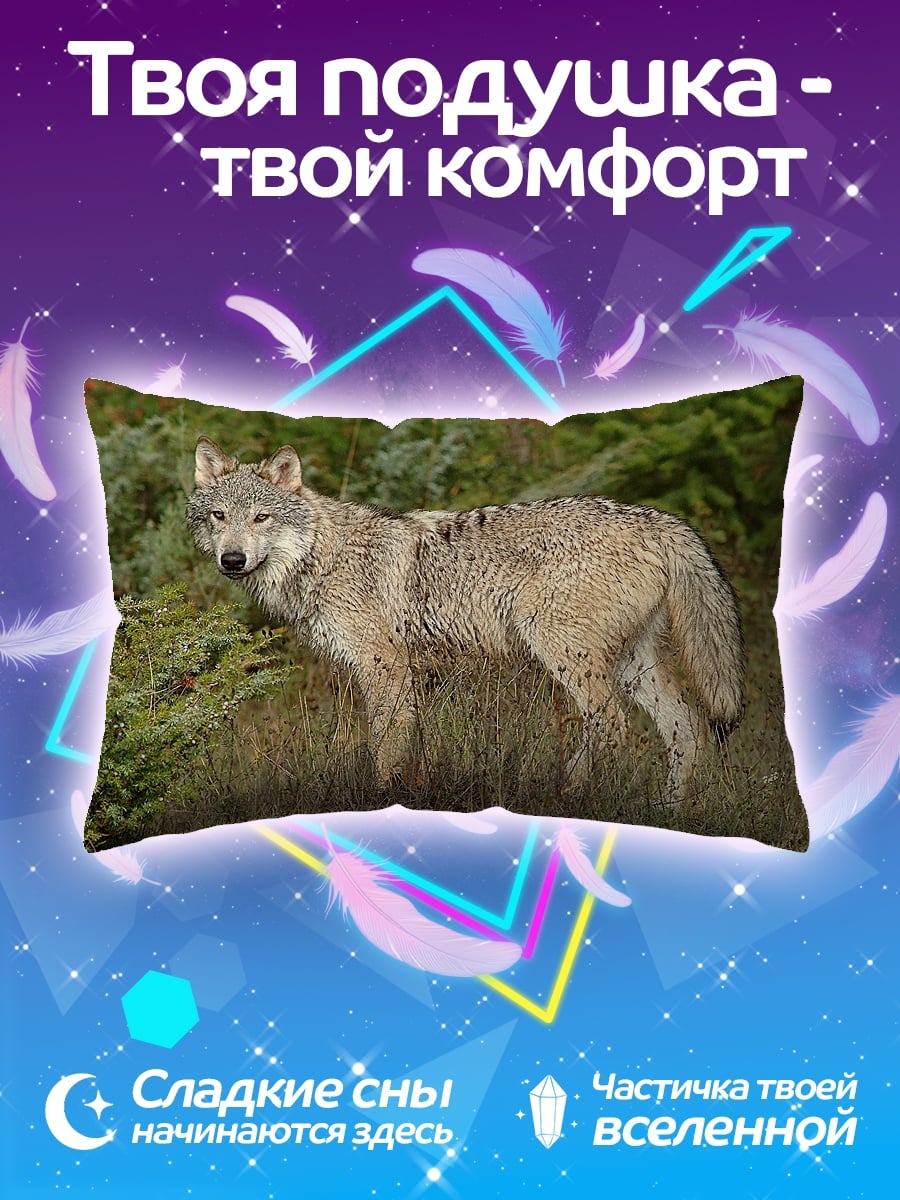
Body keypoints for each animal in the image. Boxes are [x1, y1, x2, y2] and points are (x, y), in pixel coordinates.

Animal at [186, 437, 744, 800]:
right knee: (687, 729)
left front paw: (380, 799)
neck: (320, 555)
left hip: (567, 655)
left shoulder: (385, 666)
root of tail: (657, 518)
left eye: (261, 517)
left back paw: (581, 799)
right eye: (220, 517)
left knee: (613, 725)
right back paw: (666, 812)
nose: (232, 560)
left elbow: (385, 747)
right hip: (630, 666)